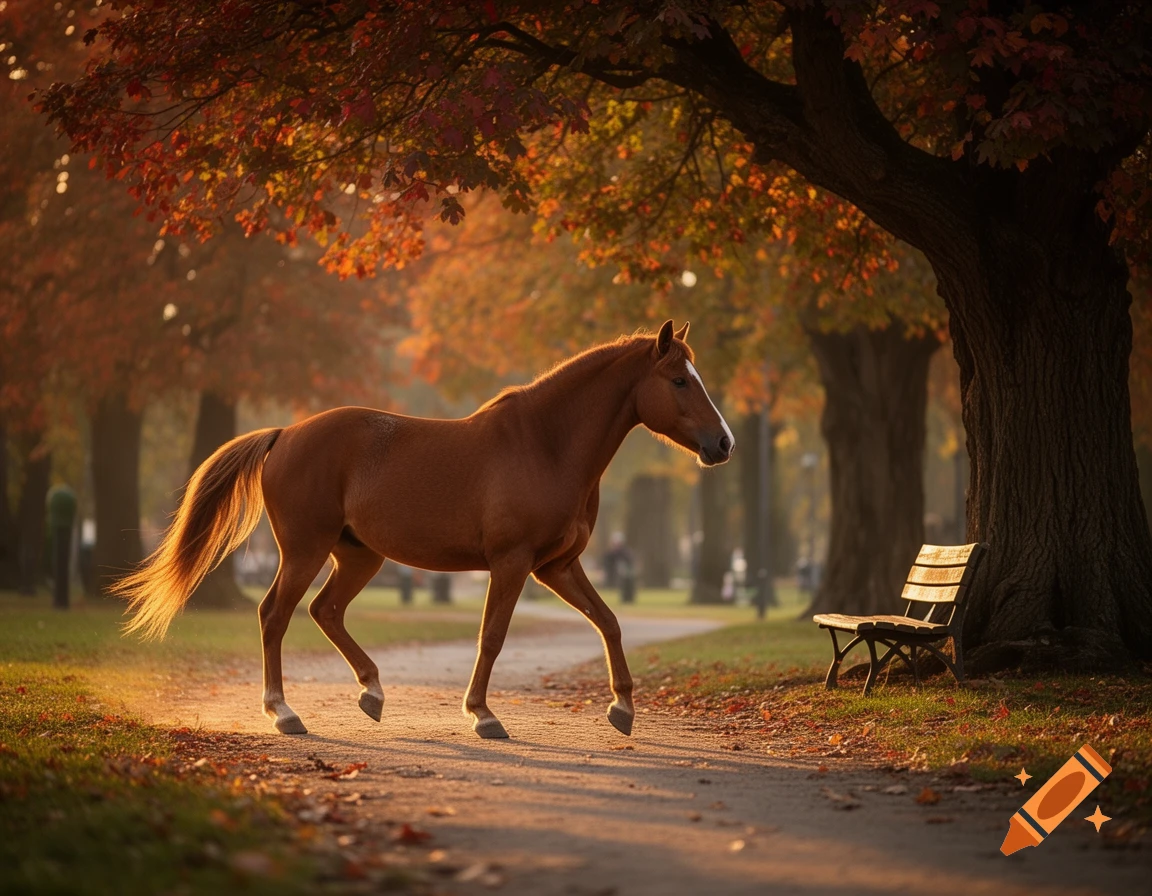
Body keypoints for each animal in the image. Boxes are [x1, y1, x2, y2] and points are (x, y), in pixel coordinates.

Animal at [115, 320, 734, 739]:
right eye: (679, 380)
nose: (723, 443)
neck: (545, 443)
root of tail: (285, 434)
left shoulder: (557, 566)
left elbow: (609, 621)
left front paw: (622, 707)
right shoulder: (513, 563)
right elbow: (492, 636)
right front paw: (482, 714)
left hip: (359, 556)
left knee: (325, 611)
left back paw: (371, 691)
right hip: (305, 552)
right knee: (276, 615)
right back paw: (284, 711)